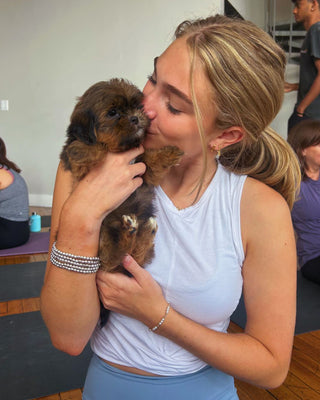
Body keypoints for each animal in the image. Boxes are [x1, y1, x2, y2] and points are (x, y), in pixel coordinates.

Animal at [60, 78, 182, 276]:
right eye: (112, 113)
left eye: (137, 106)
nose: (135, 118)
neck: (121, 149)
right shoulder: (80, 170)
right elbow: (90, 147)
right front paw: (85, 148)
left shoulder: (145, 171)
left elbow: (150, 159)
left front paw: (169, 153)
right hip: (102, 232)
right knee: (111, 258)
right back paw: (130, 230)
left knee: (134, 255)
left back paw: (145, 230)